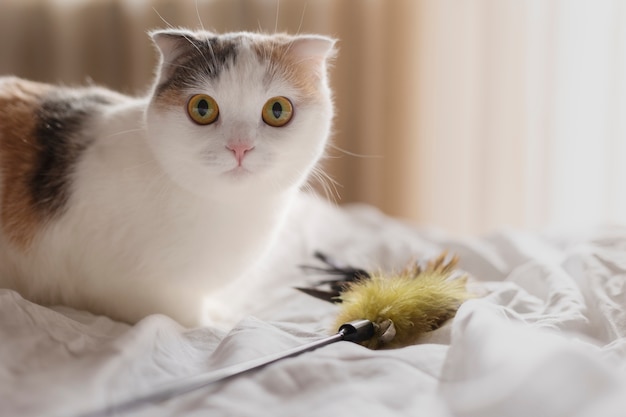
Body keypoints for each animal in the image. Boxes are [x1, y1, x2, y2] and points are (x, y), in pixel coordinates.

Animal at [0, 30, 336, 328]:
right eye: (203, 108)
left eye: (277, 110)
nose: (240, 147)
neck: (226, 208)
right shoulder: (131, 291)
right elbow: (185, 319)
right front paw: (217, 325)